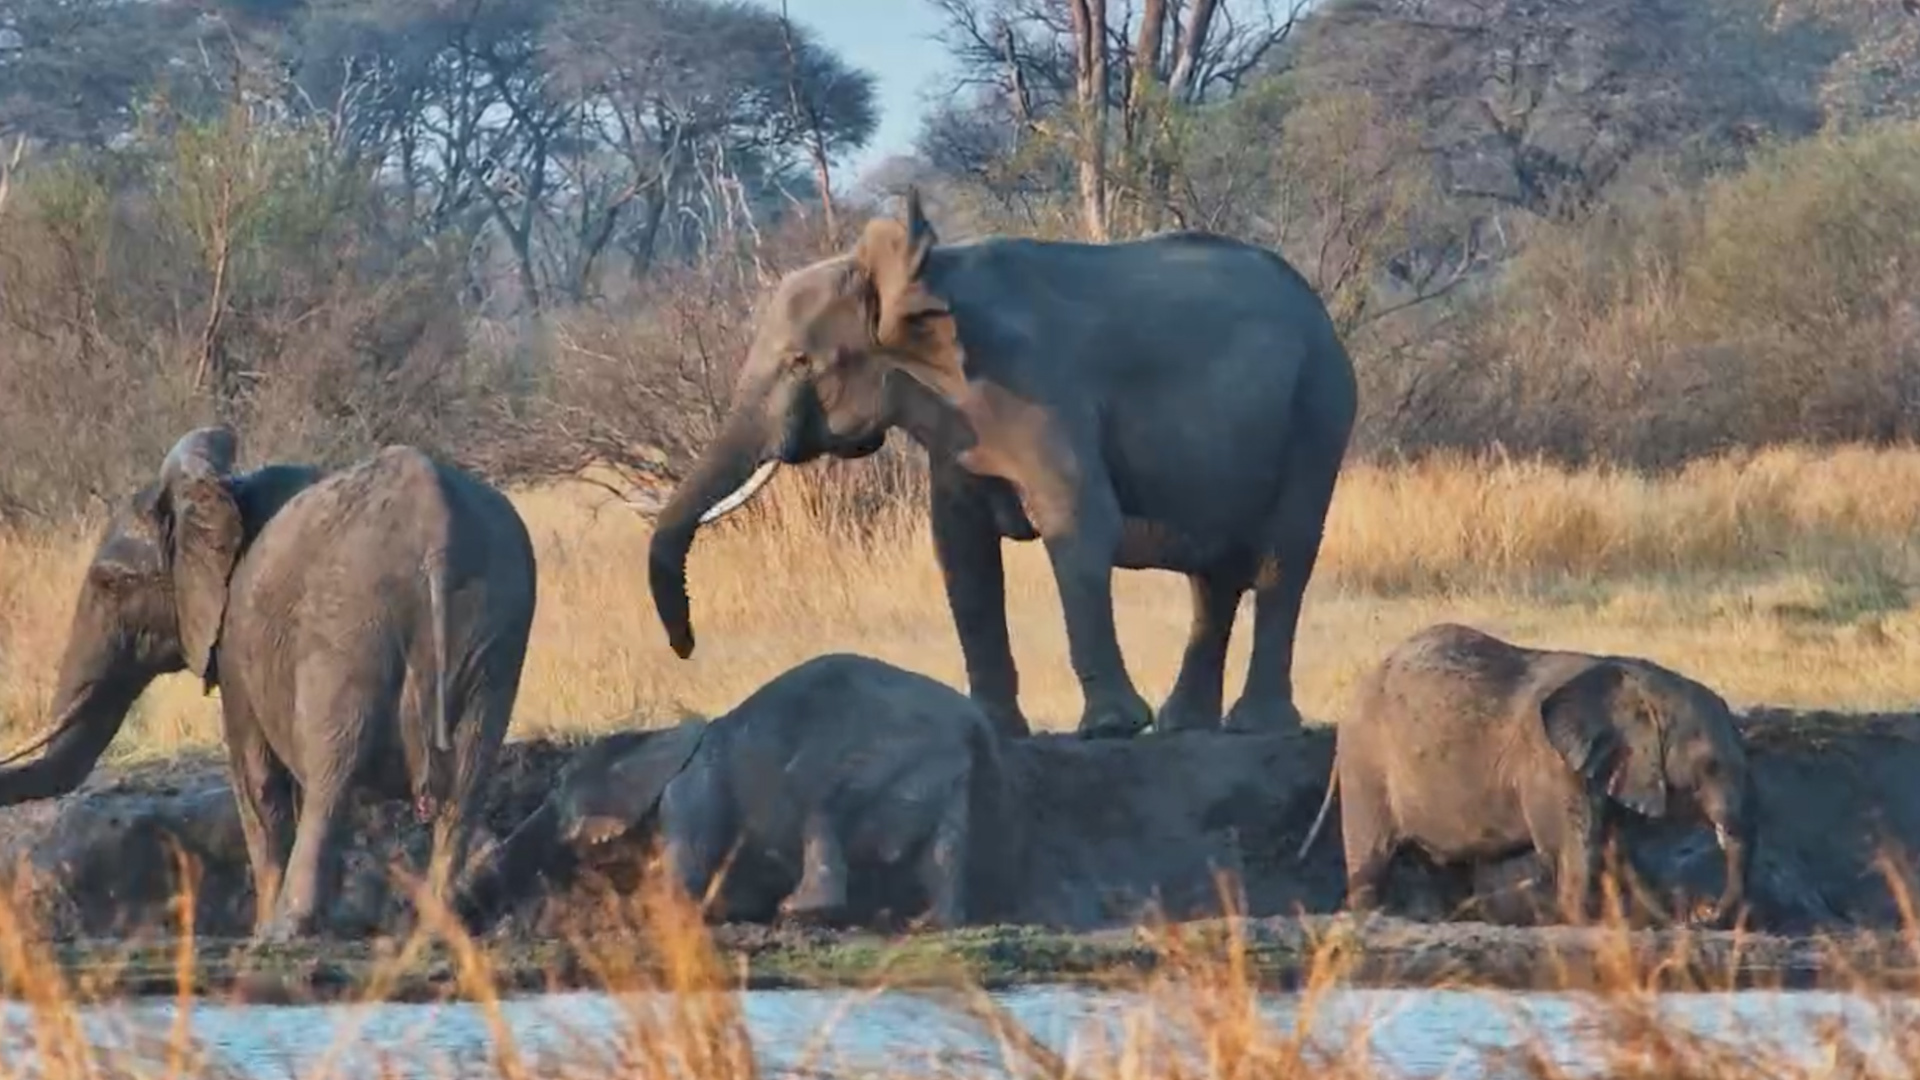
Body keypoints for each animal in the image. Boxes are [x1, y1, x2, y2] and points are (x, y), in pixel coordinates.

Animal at [0, 426, 539, 941]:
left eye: (111, 584)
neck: (221, 493)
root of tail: (436, 537)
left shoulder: (236, 636)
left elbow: (256, 776)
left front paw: (262, 929)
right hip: (494, 632)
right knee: (467, 781)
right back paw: (436, 930)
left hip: (348, 624)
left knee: (331, 772)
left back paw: (287, 930)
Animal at [454, 653, 1017, 933]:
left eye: (560, 791)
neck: (661, 736)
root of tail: (975, 724)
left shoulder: (690, 793)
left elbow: (682, 883)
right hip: (948, 776)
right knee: (945, 850)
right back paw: (929, 922)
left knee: (821, 811)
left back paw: (799, 913)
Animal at [646, 190, 1358, 742]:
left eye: (800, 362)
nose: (684, 648)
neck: (920, 273)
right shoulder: (955, 425)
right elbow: (959, 547)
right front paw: (994, 729)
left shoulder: (1039, 391)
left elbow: (1077, 522)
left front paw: (1109, 729)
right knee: (1213, 579)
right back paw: (1187, 725)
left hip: (1319, 410)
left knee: (1282, 559)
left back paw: (1255, 725)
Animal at [1296, 623, 1757, 928]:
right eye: (1710, 766)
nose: (1704, 910)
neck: (1635, 682)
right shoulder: (1549, 763)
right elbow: (1575, 851)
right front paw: (1581, 924)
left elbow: (1615, 850)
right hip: (1365, 764)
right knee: (1372, 858)